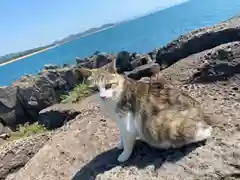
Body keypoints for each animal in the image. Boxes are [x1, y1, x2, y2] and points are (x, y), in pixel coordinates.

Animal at [79, 61, 213, 162]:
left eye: (108, 86)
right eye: (95, 89)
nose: (102, 96)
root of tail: (202, 113)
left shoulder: (127, 122)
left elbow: (127, 140)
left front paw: (124, 155)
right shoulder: (119, 121)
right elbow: (121, 136)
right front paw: (120, 145)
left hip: (166, 125)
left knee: (205, 131)